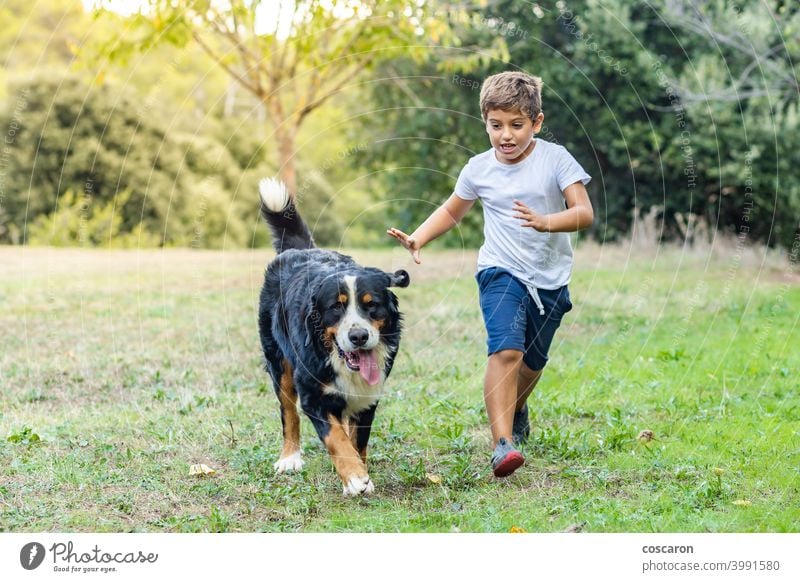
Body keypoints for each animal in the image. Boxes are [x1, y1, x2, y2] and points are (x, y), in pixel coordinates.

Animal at [258, 179, 410, 498]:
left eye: (371, 305)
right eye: (336, 308)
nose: (358, 336)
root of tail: (300, 251)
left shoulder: (368, 396)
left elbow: (356, 439)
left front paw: (358, 471)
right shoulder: (313, 394)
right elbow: (335, 437)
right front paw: (354, 477)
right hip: (279, 363)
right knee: (288, 413)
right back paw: (289, 458)